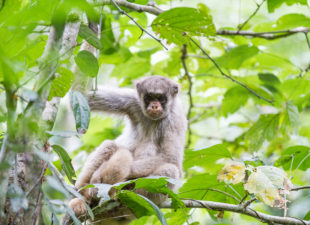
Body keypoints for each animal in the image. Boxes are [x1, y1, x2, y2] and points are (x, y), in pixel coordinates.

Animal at [68, 75, 186, 220]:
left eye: (161, 98)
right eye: (149, 97)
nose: (154, 105)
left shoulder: (175, 116)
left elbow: (171, 159)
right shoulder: (133, 100)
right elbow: (82, 96)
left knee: (171, 170)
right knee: (110, 145)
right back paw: (83, 195)